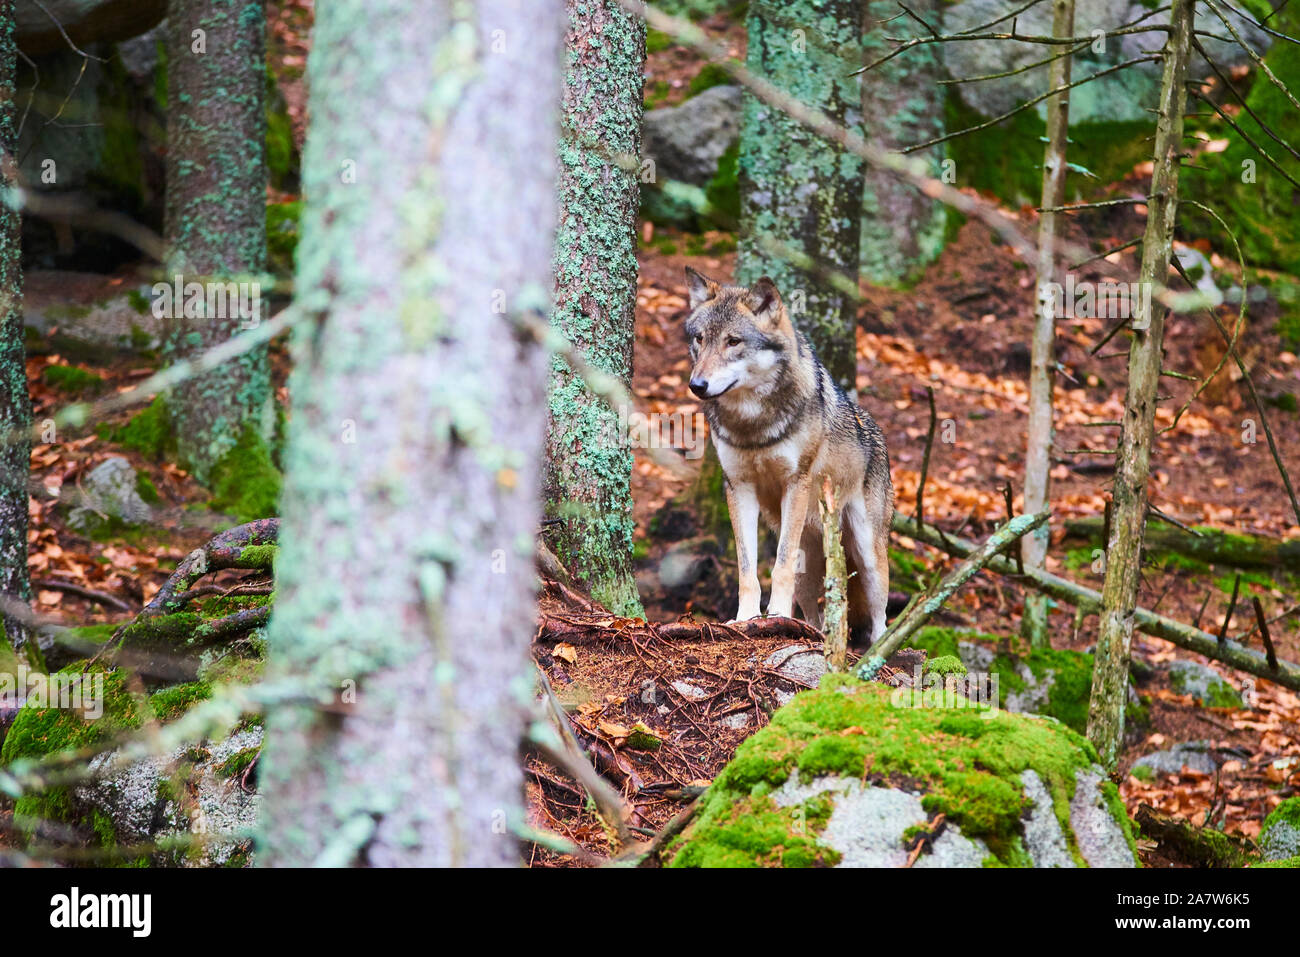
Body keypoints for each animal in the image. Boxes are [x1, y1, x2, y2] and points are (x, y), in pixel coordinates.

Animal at [684, 267, 893, 643]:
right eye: (700, 339)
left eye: (733, 341)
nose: (697, 385)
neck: (754, 427)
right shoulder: (738, 488)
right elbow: (747, 568)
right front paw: (746, 618)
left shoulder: (797, 482)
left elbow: (778, 567)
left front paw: (777, 613)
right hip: (807, 558)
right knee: (815, 610)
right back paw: (812, 632)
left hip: (868, 554)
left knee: (880, 618)